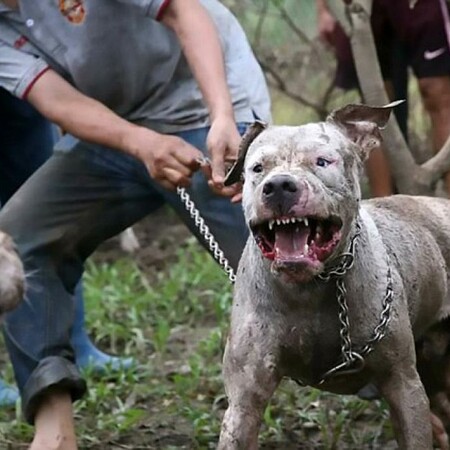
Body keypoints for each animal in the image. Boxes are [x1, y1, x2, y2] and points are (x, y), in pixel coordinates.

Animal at [218, 103, 450, 448]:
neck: (311, 287)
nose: (279, 186)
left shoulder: (403, 384)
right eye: (258, 168)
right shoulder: (244, 402)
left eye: (322, 161)